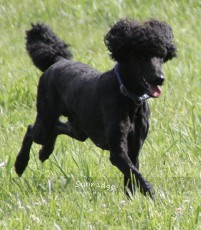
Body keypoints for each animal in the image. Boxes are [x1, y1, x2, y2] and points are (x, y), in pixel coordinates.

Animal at [14, 18, 176, 199]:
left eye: (161, 55)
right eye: (141, 54)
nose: (160, 78)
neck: (128, 98)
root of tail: (59, 60)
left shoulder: (134, 148)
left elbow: (131, 175)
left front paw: (131, 199)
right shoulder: (118, 152)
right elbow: (135, 175)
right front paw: (152, 195)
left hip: (79, 130)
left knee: (58, 128)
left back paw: (45, 152)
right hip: (46, 119)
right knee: (31, 130)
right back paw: (20, 164)